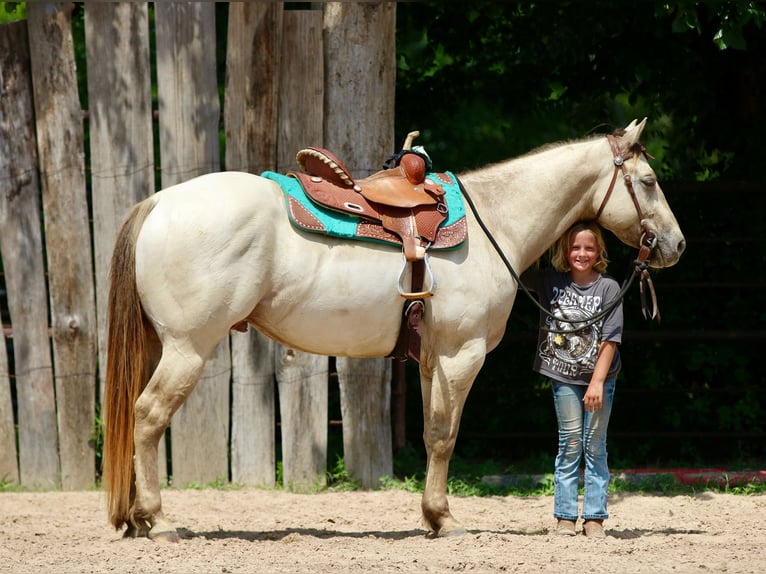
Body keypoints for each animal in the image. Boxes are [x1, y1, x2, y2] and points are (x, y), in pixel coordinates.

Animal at [102, 118, 685, 542]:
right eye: (649, 181)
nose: (676, 245)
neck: (494, 221)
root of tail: (159, 202)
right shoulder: (461, 355)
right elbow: (445, 436)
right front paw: (444, 520)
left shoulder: (432, 360)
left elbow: (431, 434)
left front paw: (431, 518)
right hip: (188, 348)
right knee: (148, 417)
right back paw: (159, 521)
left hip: (162, 346)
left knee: (133, 417)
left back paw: (133, 519)